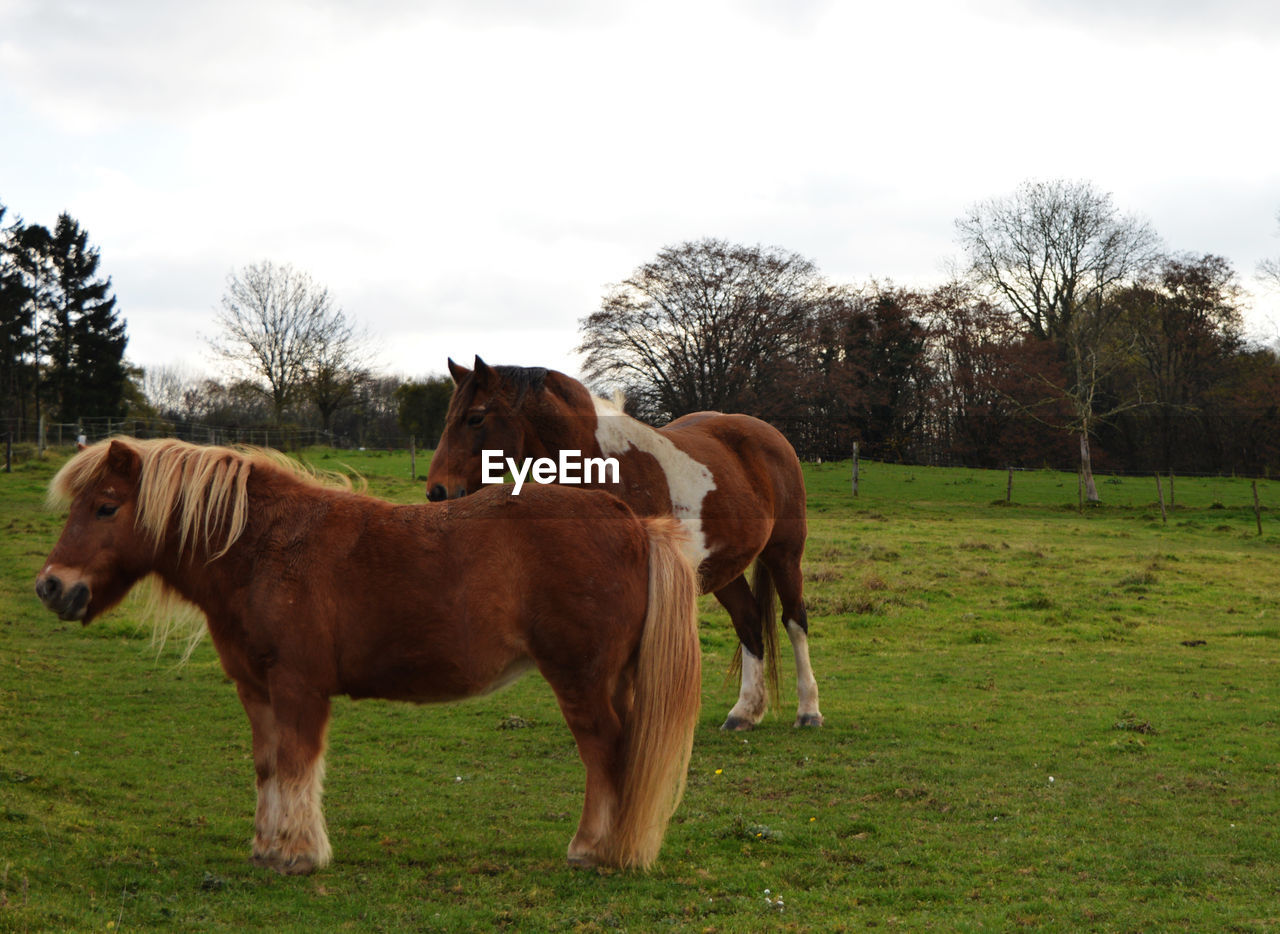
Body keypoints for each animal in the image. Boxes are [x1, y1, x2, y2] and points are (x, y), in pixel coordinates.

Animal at [32, 437, 701, 875]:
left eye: (107, 506)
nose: (53, 587)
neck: (263, 547)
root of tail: (634, 524)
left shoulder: (298, 686)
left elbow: (297, 765)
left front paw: (299, 854)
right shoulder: (255, 688)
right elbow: (268, 766)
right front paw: (267, 848)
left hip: (580, 679)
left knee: (605, 753)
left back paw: (594, 852)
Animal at [419, 355, 819, 726]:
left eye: (475, 418)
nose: (437, 491)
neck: (606, 473)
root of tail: (769, 434)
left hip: (785, 555)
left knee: (794, 620)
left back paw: (808, 711)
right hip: (722, 570)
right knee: (749, 623)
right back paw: (744, 713)